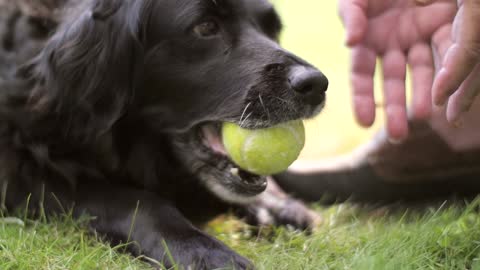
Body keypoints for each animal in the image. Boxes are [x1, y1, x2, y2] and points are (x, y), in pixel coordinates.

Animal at [0, 0, 326, 268]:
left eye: (272, 28)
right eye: (205, 27)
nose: (316, 84)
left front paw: (276, 207)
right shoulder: (22, 174)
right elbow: (134, 200)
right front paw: (200, 249)